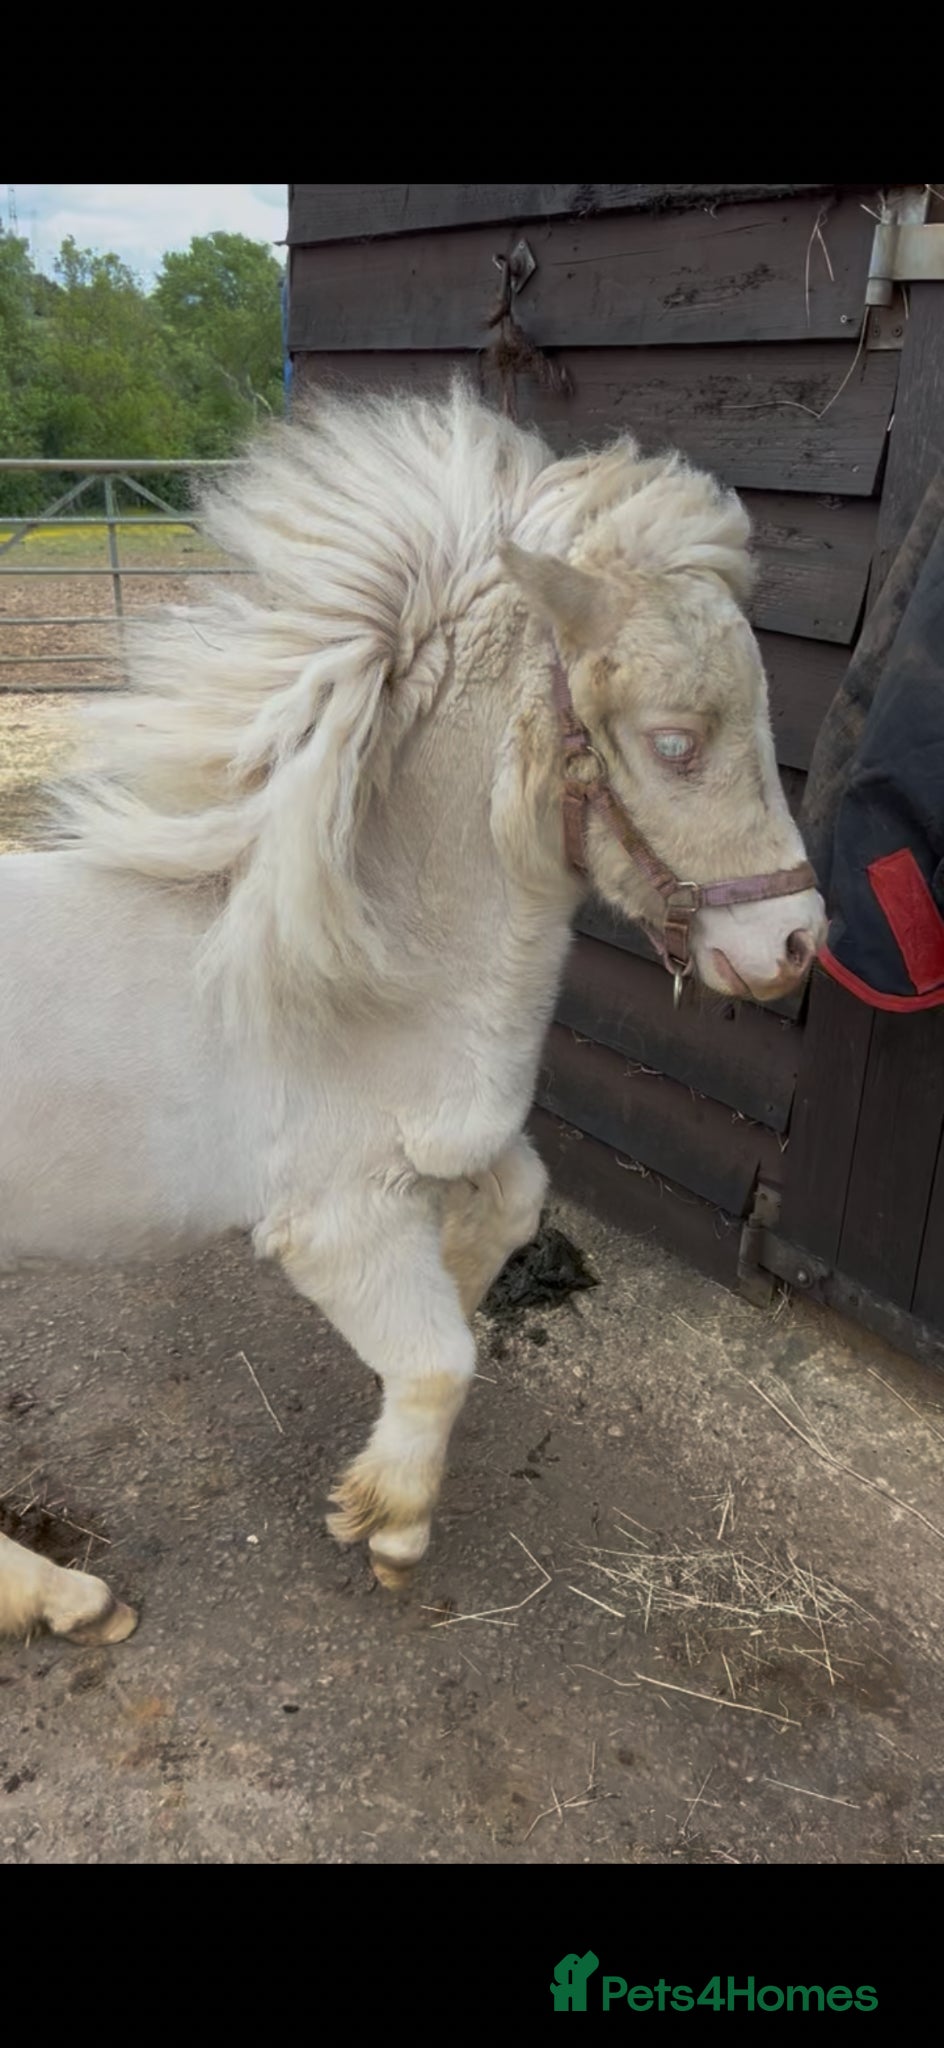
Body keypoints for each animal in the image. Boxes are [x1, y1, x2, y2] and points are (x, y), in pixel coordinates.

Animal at [0, 382, 825, 1644]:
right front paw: (386, 1520)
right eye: (673, 743)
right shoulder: (331, 1223)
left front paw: (450, 1301)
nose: (792, 944)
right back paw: (70, 1596)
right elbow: (438, 1358)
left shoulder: (451, 1147)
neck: (359, 970)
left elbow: (508, 1210)